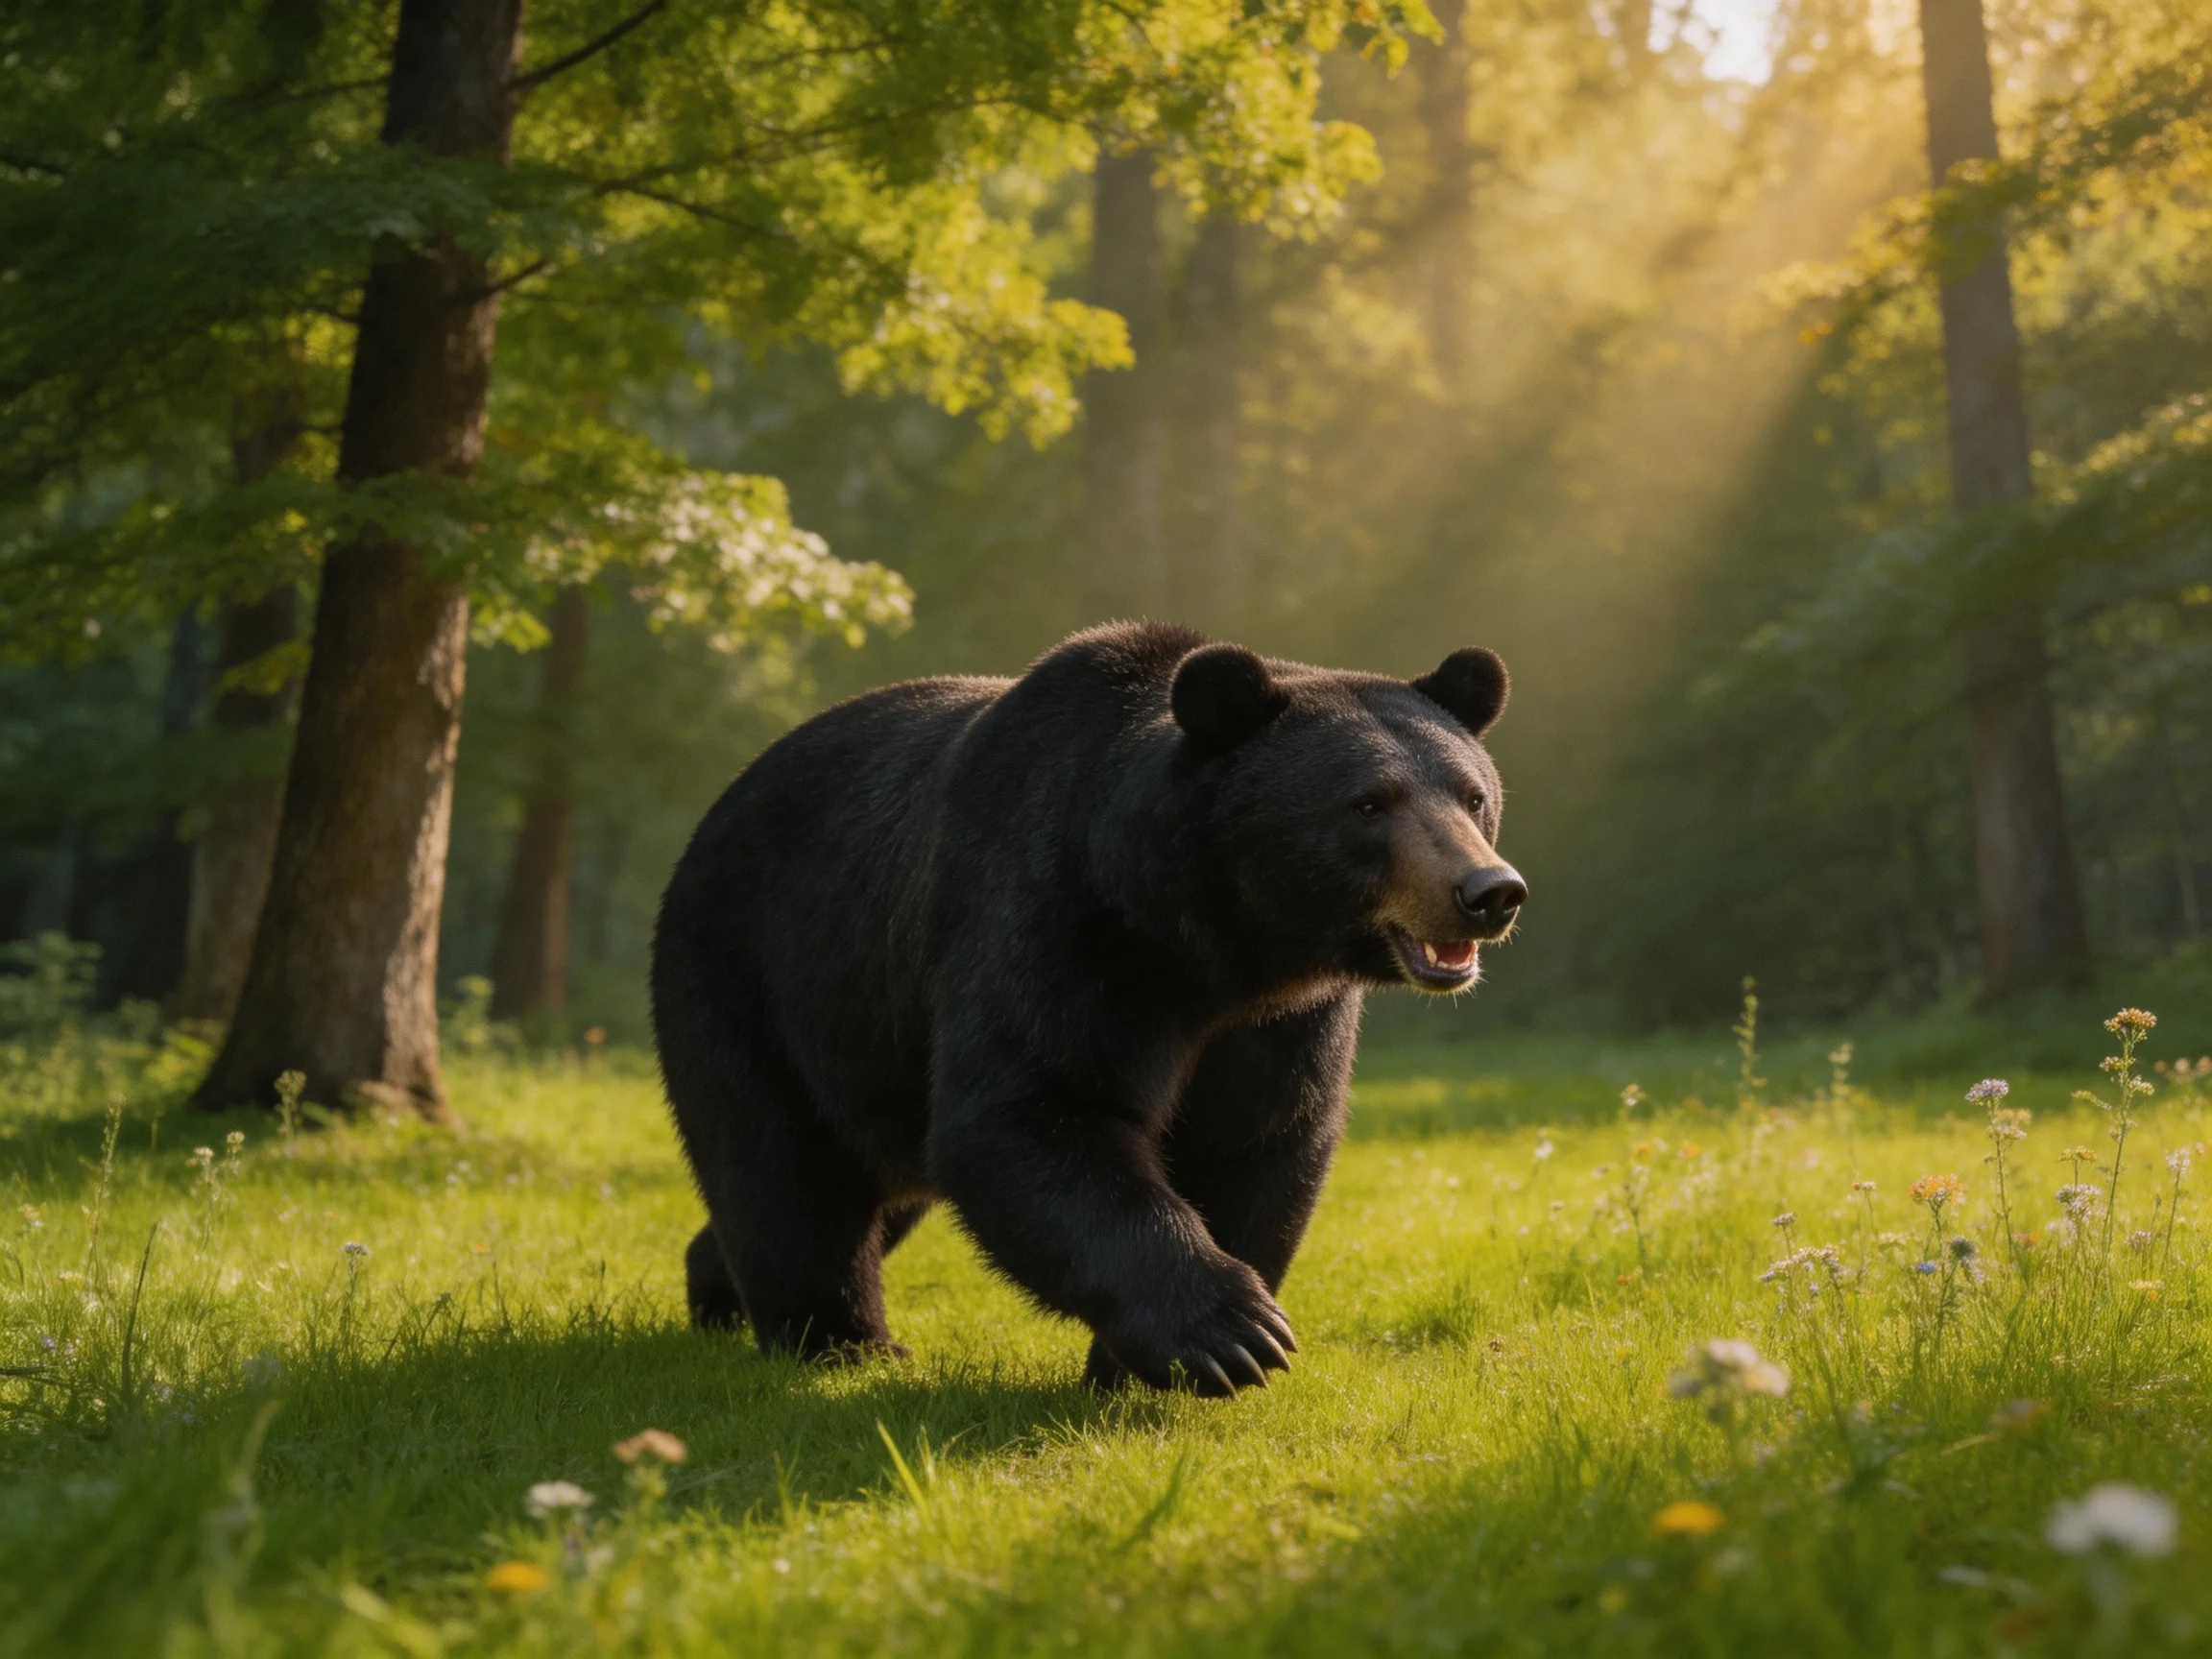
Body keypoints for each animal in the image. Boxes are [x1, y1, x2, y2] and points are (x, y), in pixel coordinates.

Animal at [651, 621, 1524, 1395]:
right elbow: (1039, 1109)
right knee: (782, 1170)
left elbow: (1254, 1141)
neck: (1214, 941)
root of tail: (717, 808)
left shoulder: (1277, 1022)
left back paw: (717, 1287)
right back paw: (840, 1340)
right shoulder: (1058, 927)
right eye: (1369, 803)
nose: (1489, 892)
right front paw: (1231, 1335)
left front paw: (1149, 1365)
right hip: (760, 971)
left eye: (1473, 795)